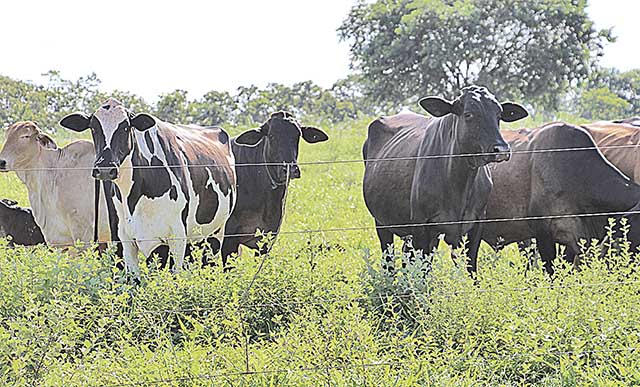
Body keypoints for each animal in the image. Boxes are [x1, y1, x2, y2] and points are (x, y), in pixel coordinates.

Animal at [58, 100, 235, 276]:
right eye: (93, 128)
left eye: (125, 127)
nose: (105, 168)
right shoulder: (127, 238)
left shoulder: (176, 237)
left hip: (216, 232)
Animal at [362, 85, 528, 274]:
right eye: (468, 114)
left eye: (499, 114)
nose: (501, 149)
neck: (460, 183)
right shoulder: (421, 226)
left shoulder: (476, 224)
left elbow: (470, 266)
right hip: (381, 223)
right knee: (389, 258)